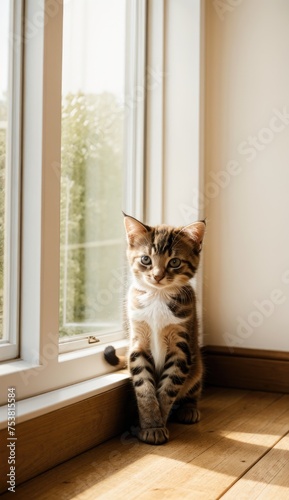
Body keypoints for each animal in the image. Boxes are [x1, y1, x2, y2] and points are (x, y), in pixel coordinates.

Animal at [103, 213, 205, 444]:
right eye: (146, 259)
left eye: (174, 262)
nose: (157, 276)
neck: (158, 296)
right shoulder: (138, 343)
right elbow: (144, 387)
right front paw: (150, 424)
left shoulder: (181, 346)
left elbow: (168, 388)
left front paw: (157, 424)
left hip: (197, 366)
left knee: (193, 387)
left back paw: (189, 408)